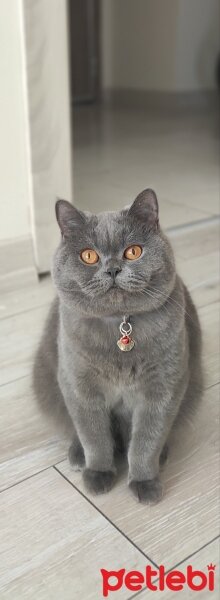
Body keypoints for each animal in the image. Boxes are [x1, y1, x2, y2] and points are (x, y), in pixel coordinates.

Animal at [33, 190, 204, 504]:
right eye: (88, 256)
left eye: (133, 251)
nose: (112, 268)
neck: (120, 326)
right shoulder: (79, 386)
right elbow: (94, 436)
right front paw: (98, 474)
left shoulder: (163, 388)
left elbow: (147, 441)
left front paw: (145, 482)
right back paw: (78, 457)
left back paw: (162, 456)